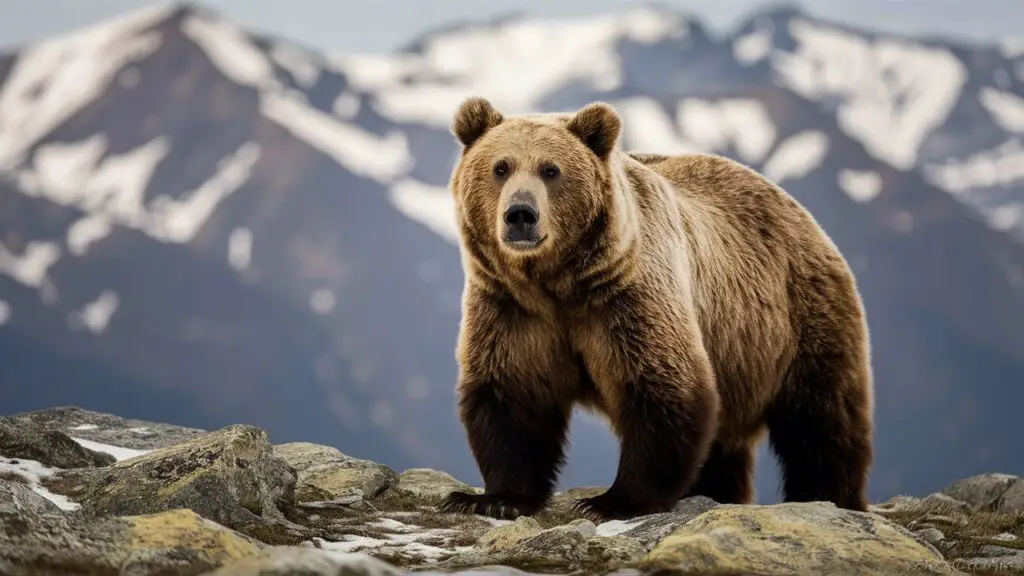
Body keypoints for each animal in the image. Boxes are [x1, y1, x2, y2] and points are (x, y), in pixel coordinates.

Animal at [436, 95, 876, 520]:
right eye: (501, 167)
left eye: (551, 169)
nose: (520, 215)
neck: (557, 282)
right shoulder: (512, 308)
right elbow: (512, 394)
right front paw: (494, 499)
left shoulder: (628, 298)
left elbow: (664, 385)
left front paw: (613, 501)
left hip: (797, 317)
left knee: (822, 419)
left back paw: (829, 495)